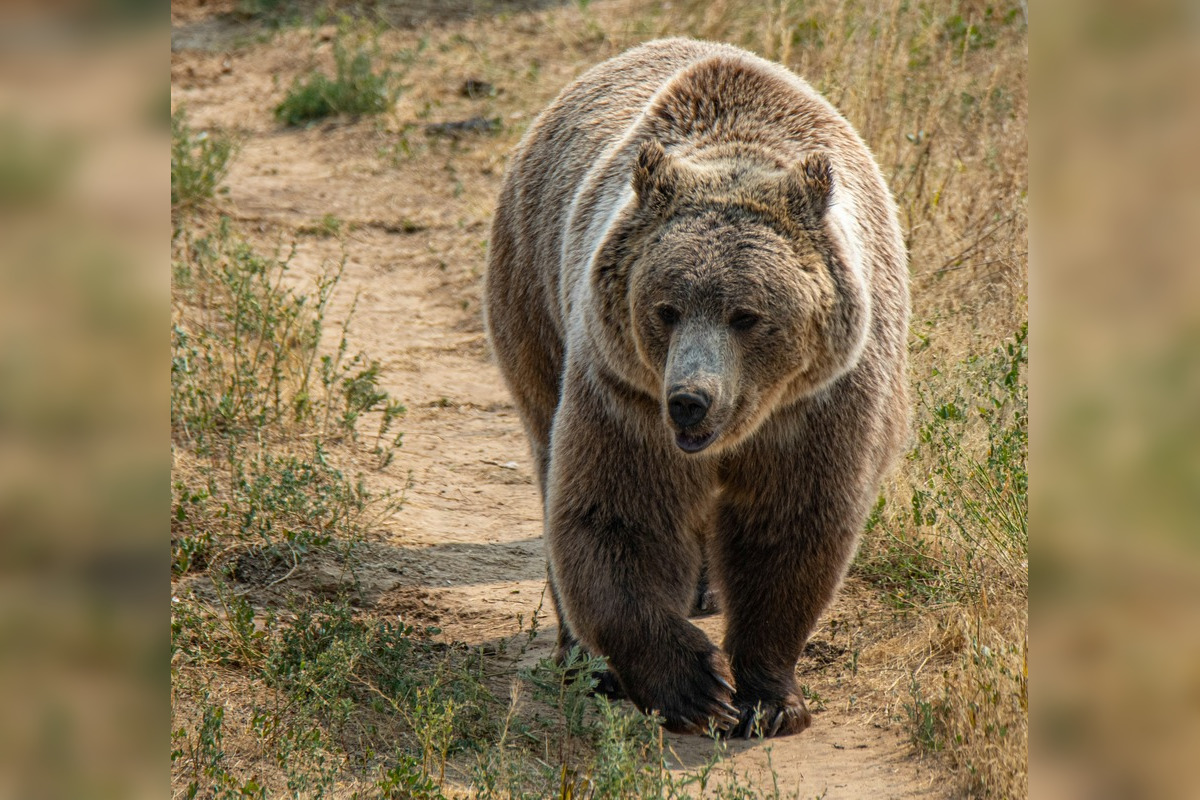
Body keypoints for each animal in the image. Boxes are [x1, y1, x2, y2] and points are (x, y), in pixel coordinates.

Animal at [484, 38, 909, 737]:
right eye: (666, 308)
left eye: (747, 315)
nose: (689, 399)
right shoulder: (624, 393)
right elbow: (617, 515)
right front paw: (694, 688)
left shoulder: (824, 401)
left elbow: (791, 526)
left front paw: (770, 697)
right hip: (534, 297)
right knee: (548, 454)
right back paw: (584, 660)